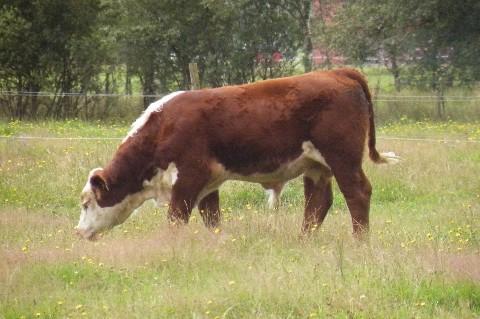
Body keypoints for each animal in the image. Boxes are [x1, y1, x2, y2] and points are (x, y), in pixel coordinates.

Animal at [75, 69, 398, 241]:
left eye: (87, 203)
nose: (78, 232)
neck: (163, 126)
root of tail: (337, 72)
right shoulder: (208, 184)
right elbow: (212, 218)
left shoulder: (189, 177)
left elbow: (176, 218)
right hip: (316, 166)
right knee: (318, 203)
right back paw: (304, 239)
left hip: (343, 159)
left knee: (357, 193)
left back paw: (360, 241)